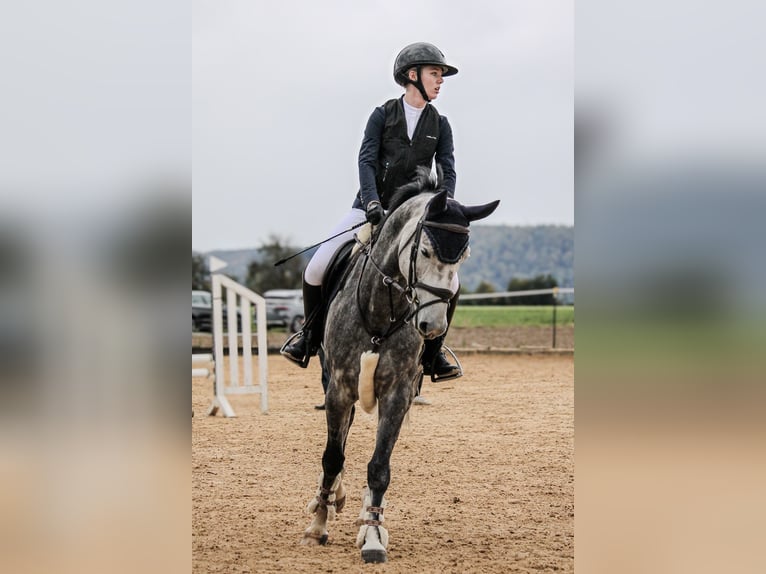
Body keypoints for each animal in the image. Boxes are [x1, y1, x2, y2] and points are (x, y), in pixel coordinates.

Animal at [304, 172, 500, 568]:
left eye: (463, 257)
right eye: (423, 251)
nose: (431, 326)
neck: (381, 310)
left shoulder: (398, 395)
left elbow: (379, 468)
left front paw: (373, 536)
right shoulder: (340, 389)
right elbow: (333, 456)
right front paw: (319, 523)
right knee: (340, 443)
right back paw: (329, 499)